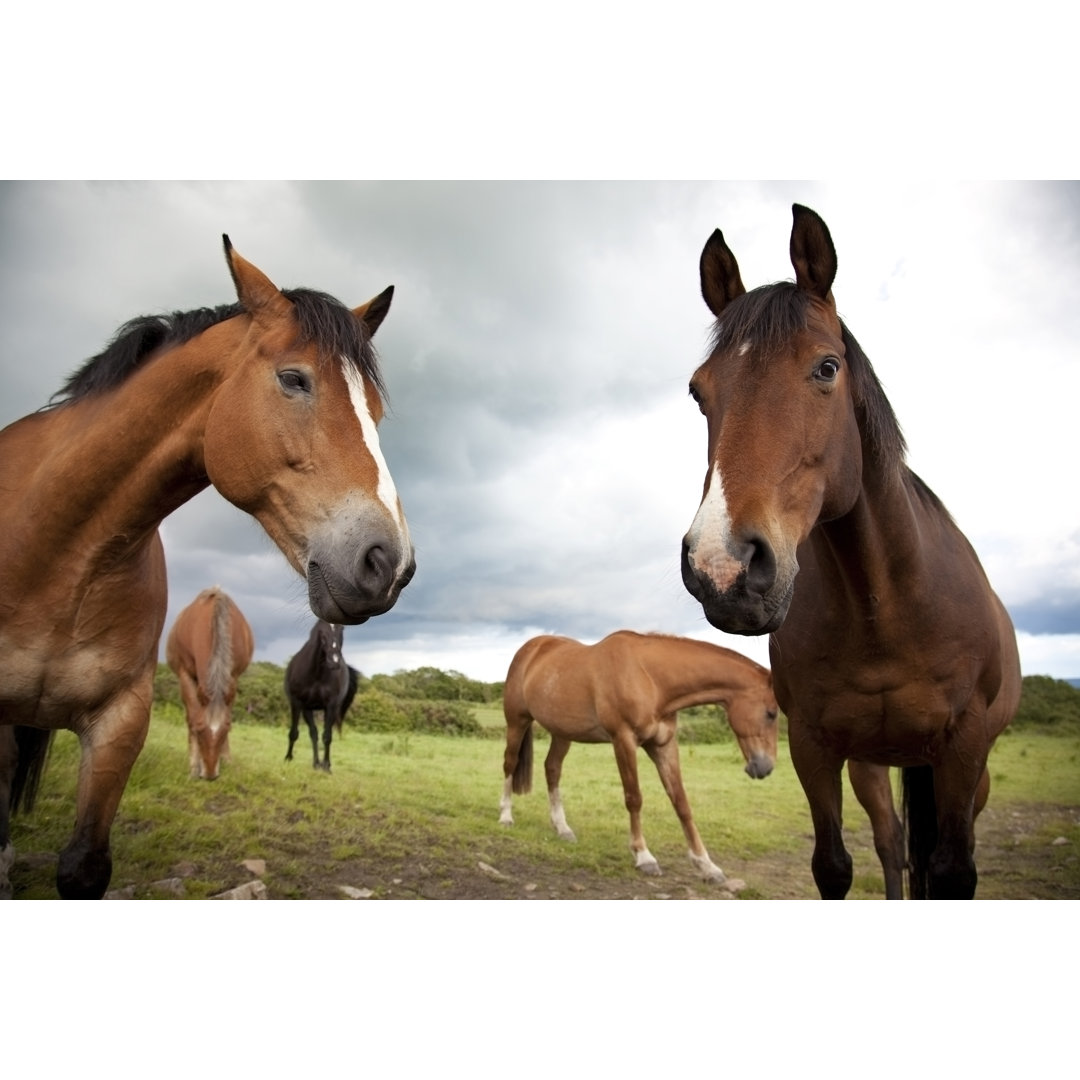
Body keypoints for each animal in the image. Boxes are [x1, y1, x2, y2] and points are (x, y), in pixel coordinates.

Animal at [165, 587, 253, 781]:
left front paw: (226, 759)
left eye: (226, 731)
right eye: (199, 732)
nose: (210, 775)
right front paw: (193, 768)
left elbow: (227, 716)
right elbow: (191, 718)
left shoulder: (233, 678)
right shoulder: (185, 675)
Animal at [282, 622, 358, 773]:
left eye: (342, 629)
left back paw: (319, 764)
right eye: (321, 631)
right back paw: (315, 763)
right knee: (313, 733)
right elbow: (294, 732)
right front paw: (288, 758)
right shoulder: (297, 703)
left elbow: (327, 736)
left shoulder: (331, 706)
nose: (334, 661)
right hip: (307, 709)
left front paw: (326, 766)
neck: (316, 674)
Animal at [496, 630, 777, 885]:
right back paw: (506, 817)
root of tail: (531, 648)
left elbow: (681, 802)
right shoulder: (624, 740)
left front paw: (707, 865)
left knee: (552, 769)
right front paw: (644, 857)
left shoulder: (663, 745)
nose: (765, 768)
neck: (650, 679)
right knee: (510, 763)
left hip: (562, 733)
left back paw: (562, 828)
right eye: (772, 713)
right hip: (517, 722)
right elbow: (634, 798)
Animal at [682, 206, 1019, 898]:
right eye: (699, 391)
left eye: (827, 368)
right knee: (893, 845)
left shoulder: (965, 747)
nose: (722, 567)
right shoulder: (814, 746)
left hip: (968, 776)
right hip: (872, 764)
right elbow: (835, 865)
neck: (883, 606)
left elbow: (951, 870)